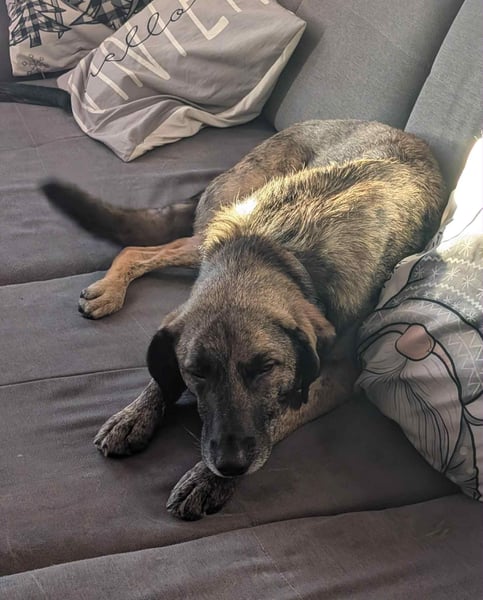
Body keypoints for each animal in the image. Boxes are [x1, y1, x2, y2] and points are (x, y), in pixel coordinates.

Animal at [41, 119, 447, 520]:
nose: (229, 465)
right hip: (214, 228)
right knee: (139, 249)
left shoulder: (339, 375)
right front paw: (135, 415)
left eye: (266, 368)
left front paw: (206, 479)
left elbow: (283, 414)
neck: (277, 252)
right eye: (196, 371)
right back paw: (109, 290)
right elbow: (162, 373)